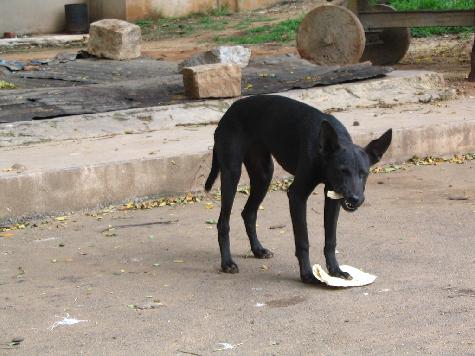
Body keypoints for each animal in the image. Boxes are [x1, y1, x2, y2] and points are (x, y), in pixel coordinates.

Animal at [205, 94, 394, 284]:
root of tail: (229, 111)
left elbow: (331, 240)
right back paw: (227, 262)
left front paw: (335, 271)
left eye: (364, 173)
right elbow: (303, 240)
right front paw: (307, 274)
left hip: (263, 175)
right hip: (232, 174)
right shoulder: (297, 195)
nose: (355, 199)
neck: (323, 155)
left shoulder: (333, 197)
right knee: (223, 222)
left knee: (248, 213)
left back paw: (258, 249)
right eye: (343, 171)